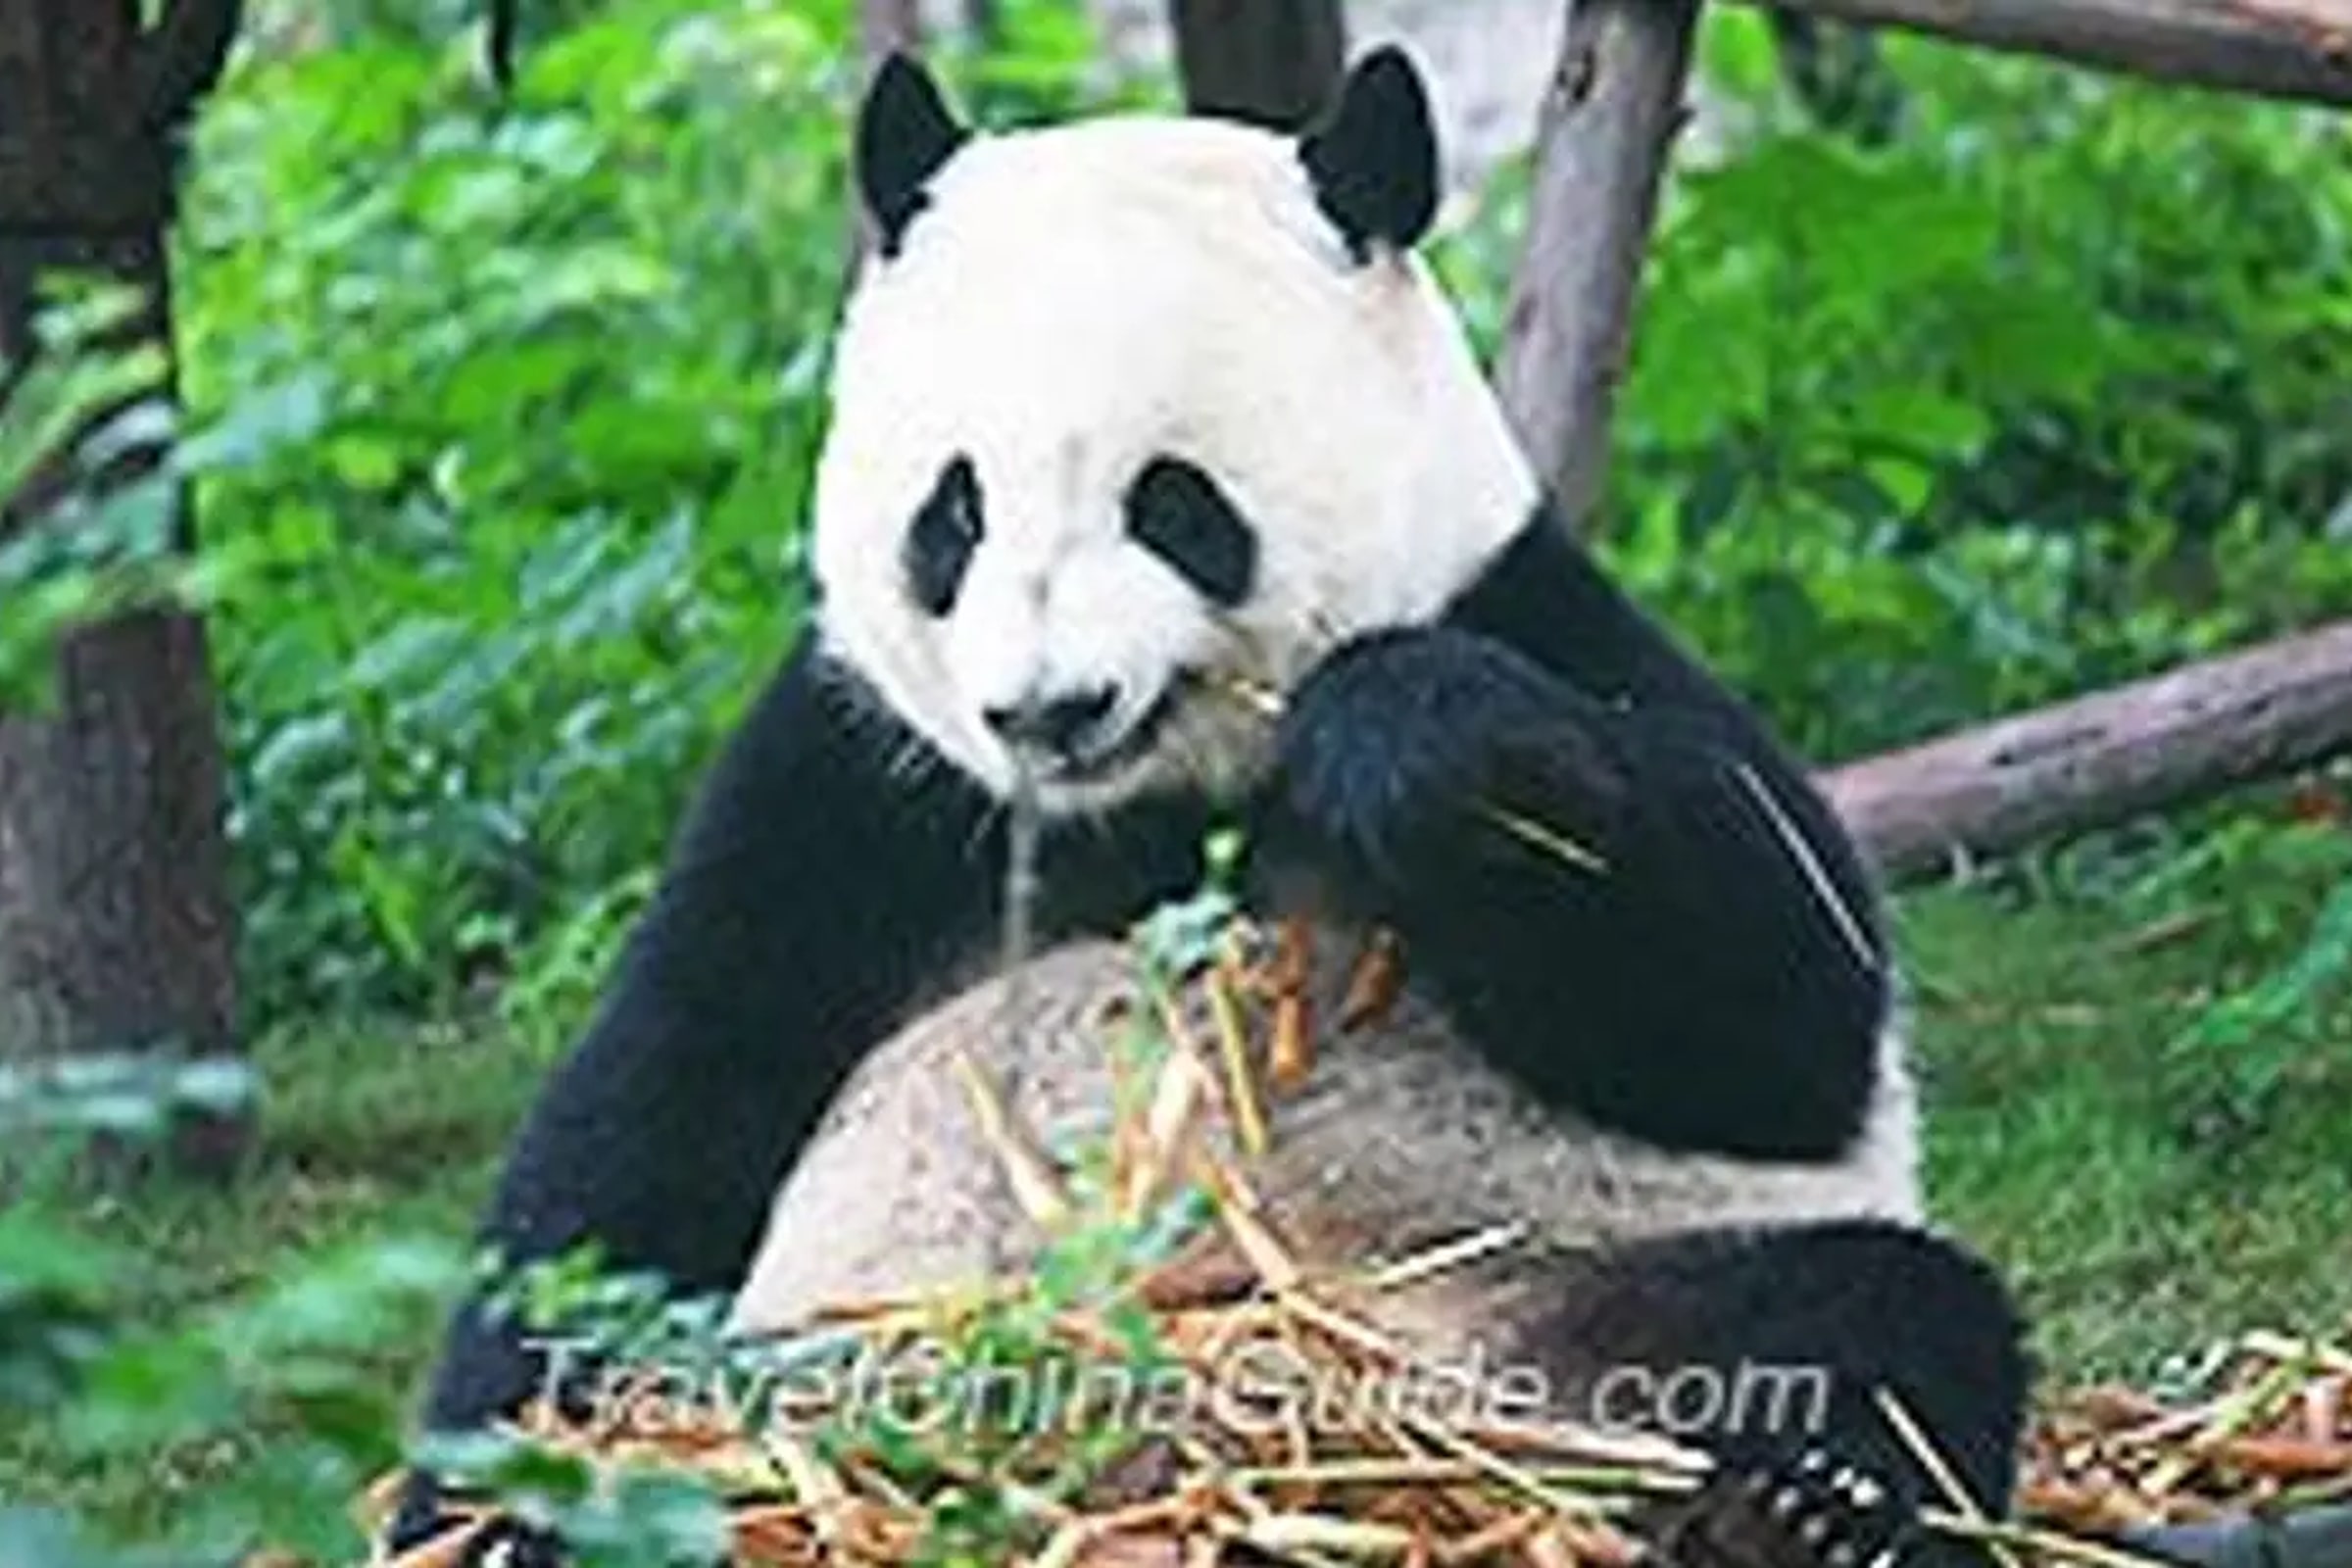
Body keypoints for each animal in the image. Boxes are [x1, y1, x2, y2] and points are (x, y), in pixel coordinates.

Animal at [389, 46, 2030, 1568]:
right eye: (954, 513)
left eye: (1174, 504)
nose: (1047, 711)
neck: (1152, 807)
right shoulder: (860, 781)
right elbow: (666, 1108)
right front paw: (484, 1504)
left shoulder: (1543, 617)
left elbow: (1777, 1015)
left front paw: (1404, 743)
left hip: (1566, 1276)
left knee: (1875, 1314)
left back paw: (1796, 1507)